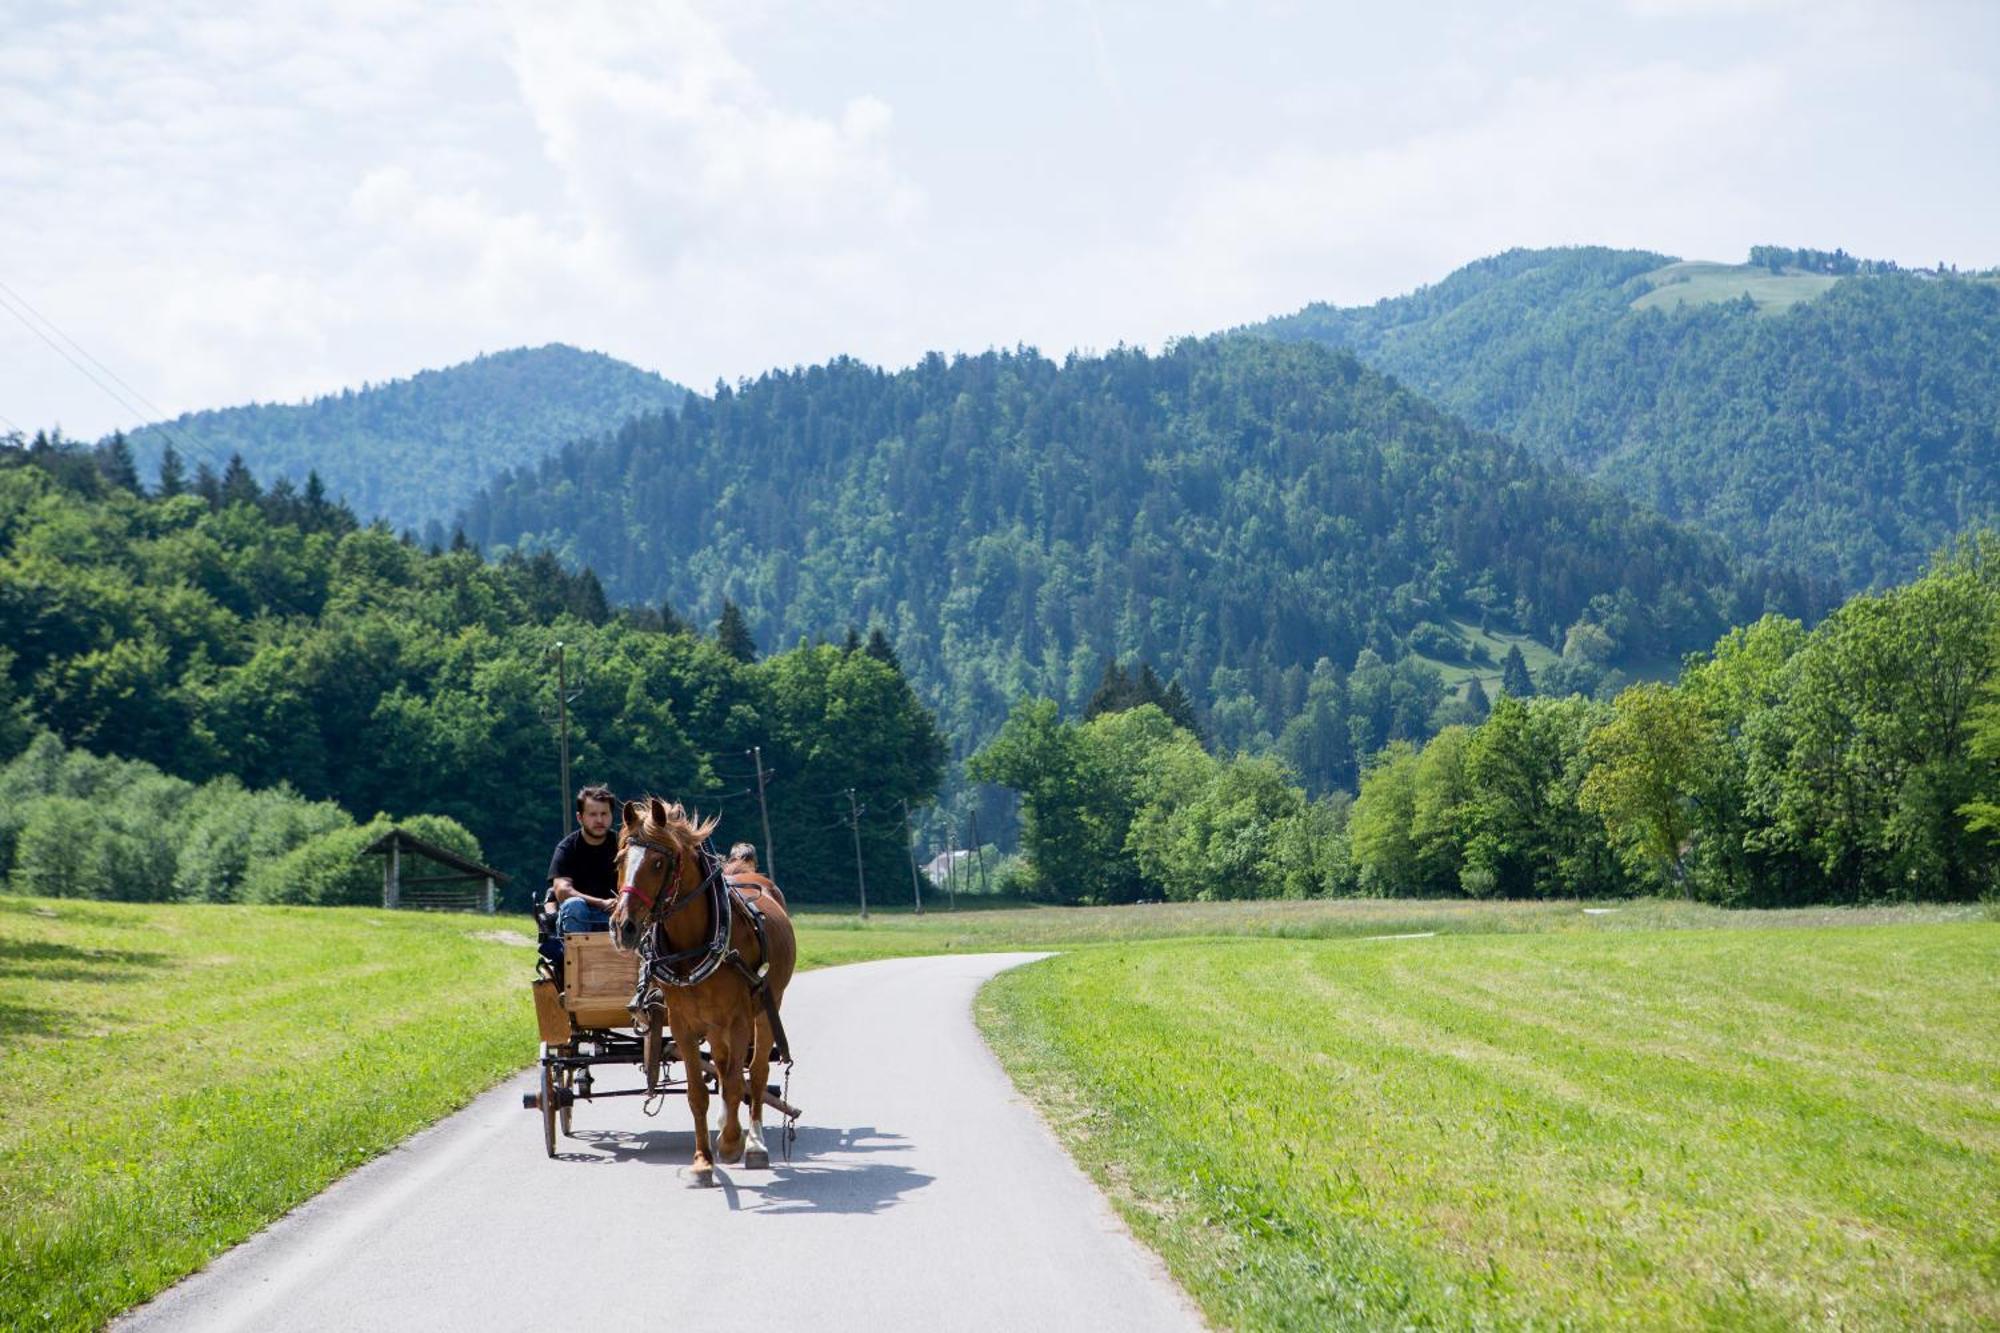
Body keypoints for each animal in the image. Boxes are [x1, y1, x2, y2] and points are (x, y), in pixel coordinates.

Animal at [608, 792, 796, 1176]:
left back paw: (753, 1143)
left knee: (754, 1074)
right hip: (712, 1022)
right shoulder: (683, 1022)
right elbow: (698, 1092)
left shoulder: (739, 1019)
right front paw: (702, 1162)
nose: (623, 927)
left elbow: (738, 1083)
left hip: (766, 1008)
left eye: (658, 863)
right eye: (620, 859)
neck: (695, 944)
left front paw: (731, 1144)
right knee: (723, 1067)